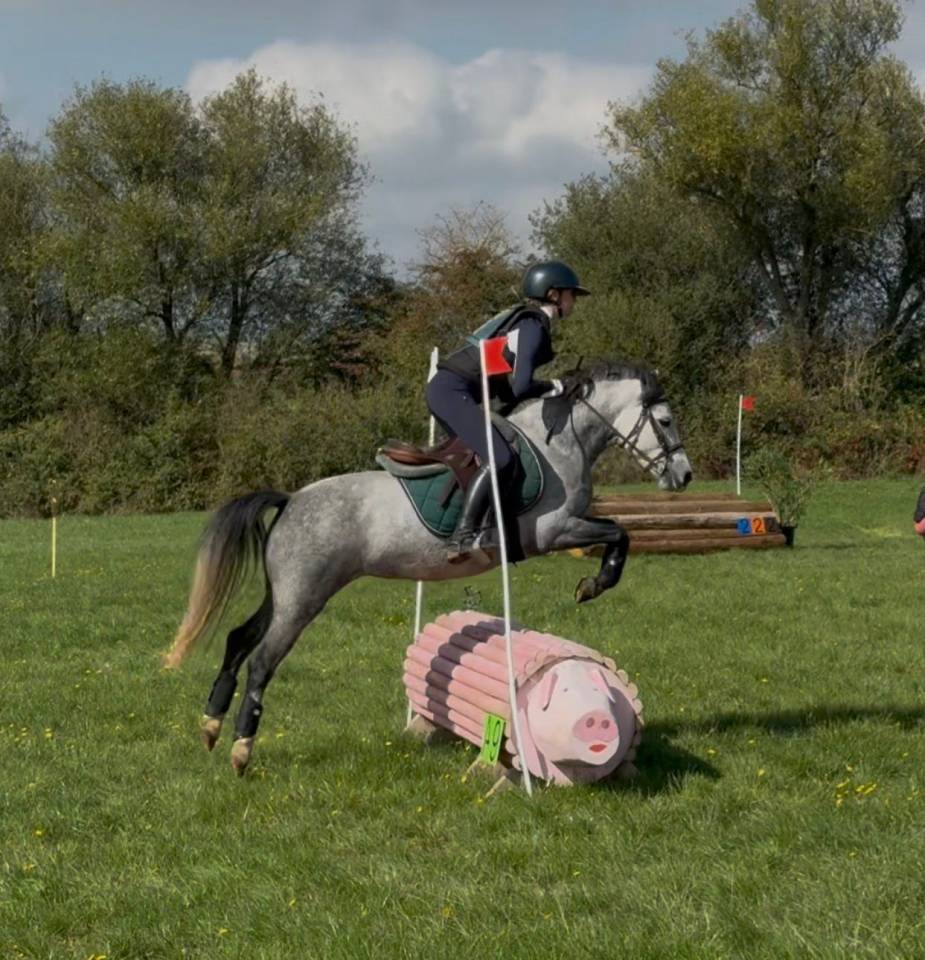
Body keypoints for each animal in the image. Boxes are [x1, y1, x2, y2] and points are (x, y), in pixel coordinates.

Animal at [164, 361, 693, 775]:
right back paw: (241, 750)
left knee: (238, 639)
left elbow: (618, 531)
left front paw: (592, 583)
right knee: (261, 660)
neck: (557, 443)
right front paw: (594, 584)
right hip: (304, 598)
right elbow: (619, 534)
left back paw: (210, 726)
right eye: (666, 420)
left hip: (284, 593)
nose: (684, 476)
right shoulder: (553, 532)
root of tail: (291, 499)